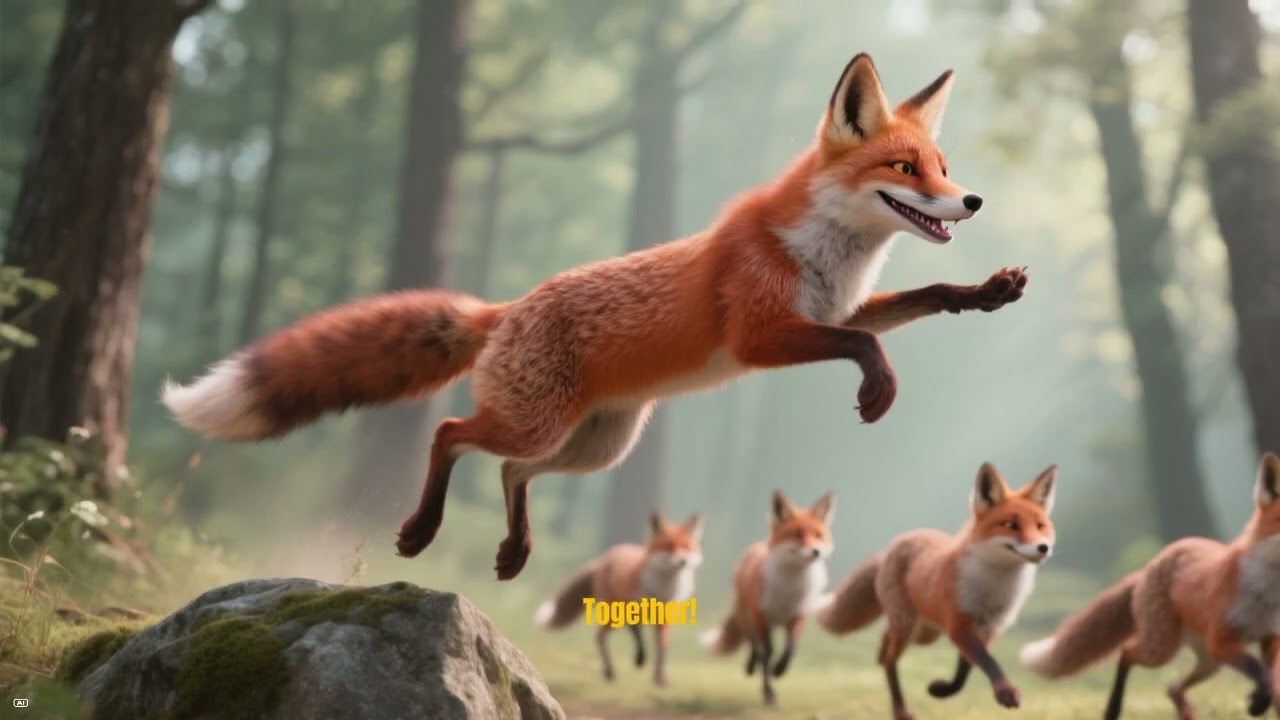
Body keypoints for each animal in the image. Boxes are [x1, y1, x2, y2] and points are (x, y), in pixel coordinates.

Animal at [159, 52, 1028, 582]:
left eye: (942, 167)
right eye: (904, 168)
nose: (972, 200)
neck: (831, 254)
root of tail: (506, 308)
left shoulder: (839, 308)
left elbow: (917, 300)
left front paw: (985, 291)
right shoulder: (760, 335)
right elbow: (860, 344)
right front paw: (879, 387)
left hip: (594, 448)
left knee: (509, 472)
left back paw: (515, 549)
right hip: (542, 426)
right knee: (451, 434)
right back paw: (421, 531)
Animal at [534, 511, 703, 688]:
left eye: (686, 547)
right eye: (668, 546)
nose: (682, 561)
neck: (661, 590)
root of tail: (606, 557)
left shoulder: (664, 619)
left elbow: (661, 651)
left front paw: (660, 678)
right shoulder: (631, 610)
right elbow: (639, 638)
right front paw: (639, 660)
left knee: (602, 635)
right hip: (614, 615)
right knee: (600, 636)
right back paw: (609, 670)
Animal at [699, 490, 835, 706]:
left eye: (818, 535)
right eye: (797, 535)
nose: (816, 551)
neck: (789, 588)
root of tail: (757, 546)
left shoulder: (798, 615)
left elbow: (790, 650)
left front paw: (780, 669)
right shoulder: (761, 615)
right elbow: (767, 653)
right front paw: (769, 692)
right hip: (747, 618)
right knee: (754, 646)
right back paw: (750, 667)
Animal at [814, 462, 1058, 720]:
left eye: (1040, 526)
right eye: (1011, 525)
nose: (1043, 547)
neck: (995, 588)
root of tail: (894, 545)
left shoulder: (991, 629)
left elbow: (966, 672)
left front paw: (942, 690)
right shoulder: (959, 625)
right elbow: (989, 662)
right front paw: (1006, 692)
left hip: (925, 634)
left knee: (886, 636)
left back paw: (880, 654)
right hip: (909, 624)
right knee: (891, 661)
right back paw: (900, 709)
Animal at [1020, 451, 1280, 720]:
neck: (1265, 596)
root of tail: (1150, 565)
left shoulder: (1270, 640)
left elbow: (1270, 680)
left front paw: (1261, 701)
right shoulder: (1221, 640)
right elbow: (1259, 671)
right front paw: (1258, 702)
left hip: (1208, 661)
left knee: (1172, 688)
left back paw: (1185, 713)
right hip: (1164, 649)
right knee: (1127, 653)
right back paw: (1112, 709)